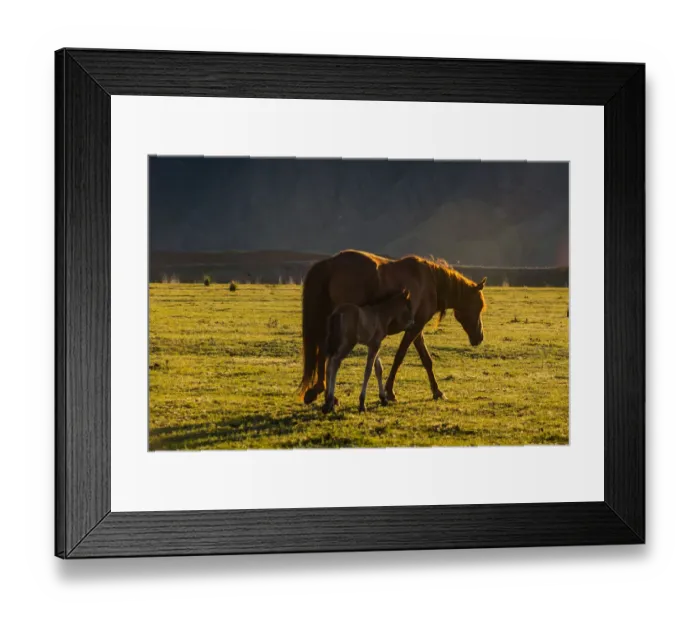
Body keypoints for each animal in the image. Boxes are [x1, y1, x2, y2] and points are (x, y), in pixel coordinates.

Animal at [299, 250, 487, 405]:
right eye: (478, 306)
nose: (479, 337)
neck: (432, 282)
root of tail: (331, 264)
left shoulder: (416, 327)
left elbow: (426, 359)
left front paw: (437, 391)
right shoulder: (415, 327)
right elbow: (400, 356)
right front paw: (389, 392)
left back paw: (319, 392)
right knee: (328, 355)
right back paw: (326, 394)